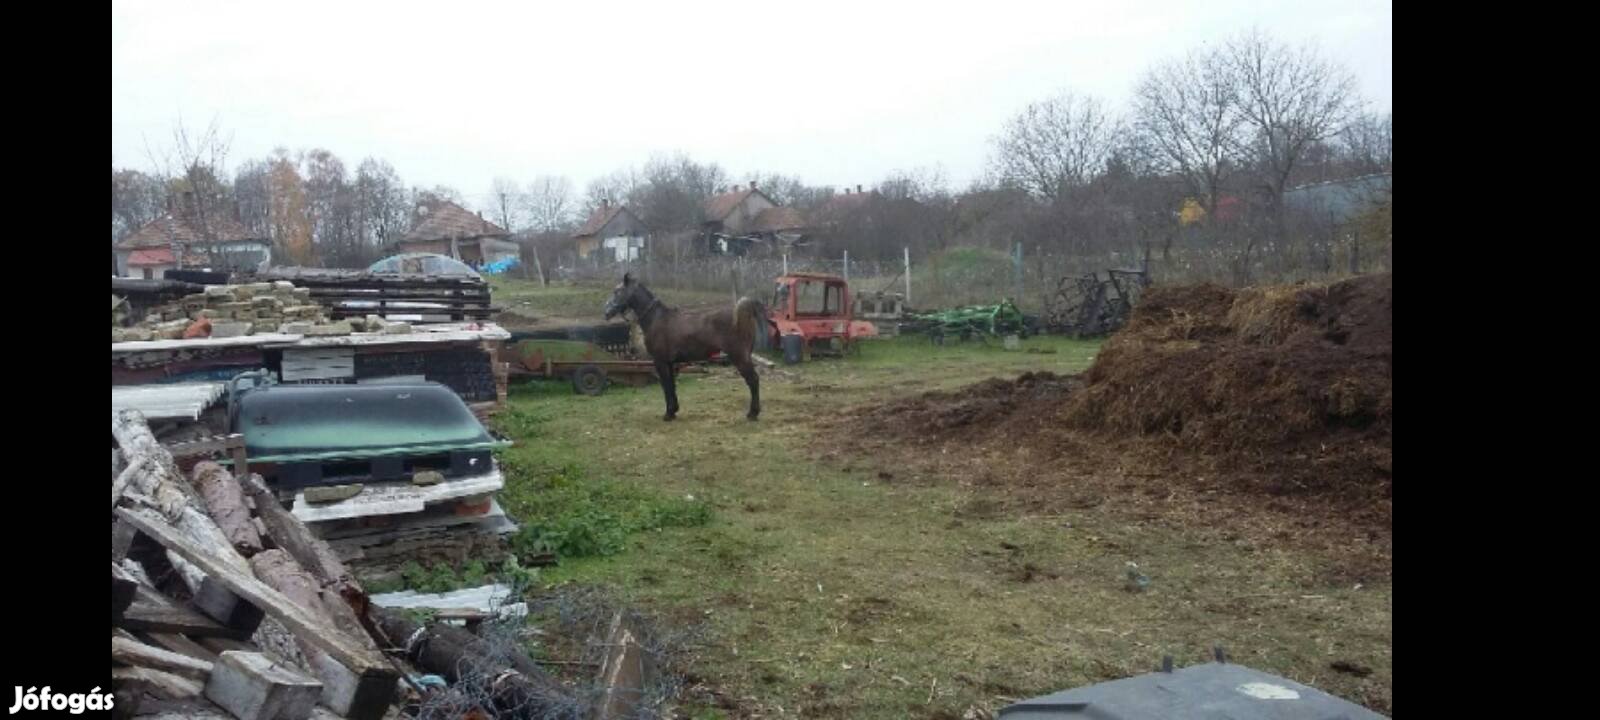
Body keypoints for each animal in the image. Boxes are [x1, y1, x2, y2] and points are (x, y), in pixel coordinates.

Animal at [604, 275, 768, 422]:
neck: (657, 319)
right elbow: (672, 386)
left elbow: (666, 386)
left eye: (617, 291)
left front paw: (668, 414)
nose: (606, 312)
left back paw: (752, 414)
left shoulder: (660, 362)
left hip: (739, 357)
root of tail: (745, 312)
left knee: (753, 380)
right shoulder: (670, 363)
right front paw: (674, 411)